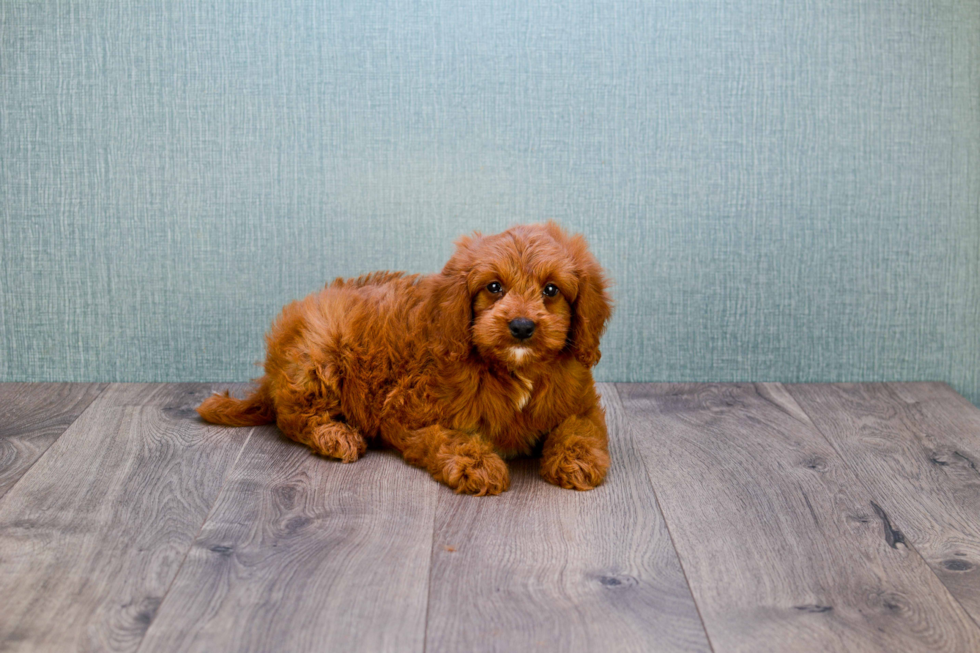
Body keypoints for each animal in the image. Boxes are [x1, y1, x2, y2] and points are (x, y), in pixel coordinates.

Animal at [197, 220, 612, 494]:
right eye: (494, 287)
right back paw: (335, 435)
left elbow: (580, 427)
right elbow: (449, 436)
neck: (514, 367)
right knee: (293, 418)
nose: (522, 327)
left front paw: (577, 459)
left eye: (551, 290)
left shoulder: (581, 402)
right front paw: (476, 463)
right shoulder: (408, 415)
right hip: (318, 353)